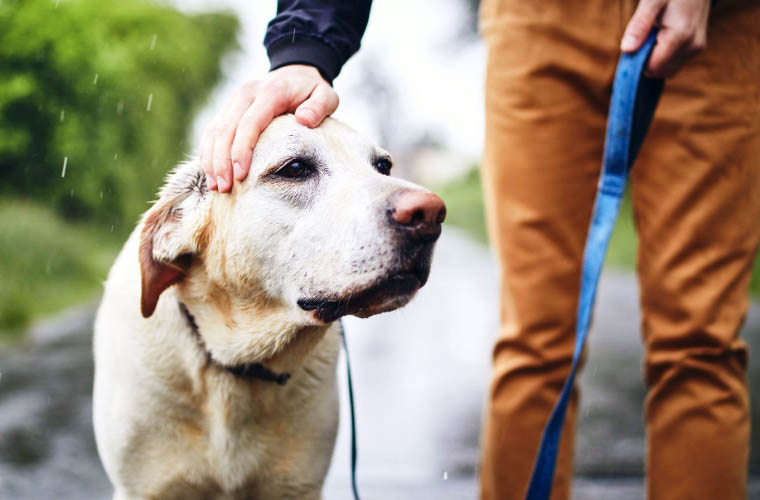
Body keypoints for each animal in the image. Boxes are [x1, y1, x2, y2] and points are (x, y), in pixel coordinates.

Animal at [91, 115, 446, 498]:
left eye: (383, 166)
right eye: (295, 168)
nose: (430, 213)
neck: (237, 366)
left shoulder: (298, 486)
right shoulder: (143, 488)